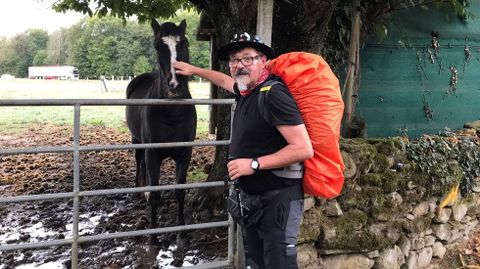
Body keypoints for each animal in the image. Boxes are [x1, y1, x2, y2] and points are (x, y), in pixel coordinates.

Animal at [125, 19, 197, 255]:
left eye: (184, 43)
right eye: (157, 46)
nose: (174, 85)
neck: (172, 113)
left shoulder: (184, 154)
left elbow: (180, 192)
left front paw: (182, 235)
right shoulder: (153, 153)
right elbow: (156, 194)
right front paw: (153, 239)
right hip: (138, 143)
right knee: (140, 164)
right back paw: (140, 193)